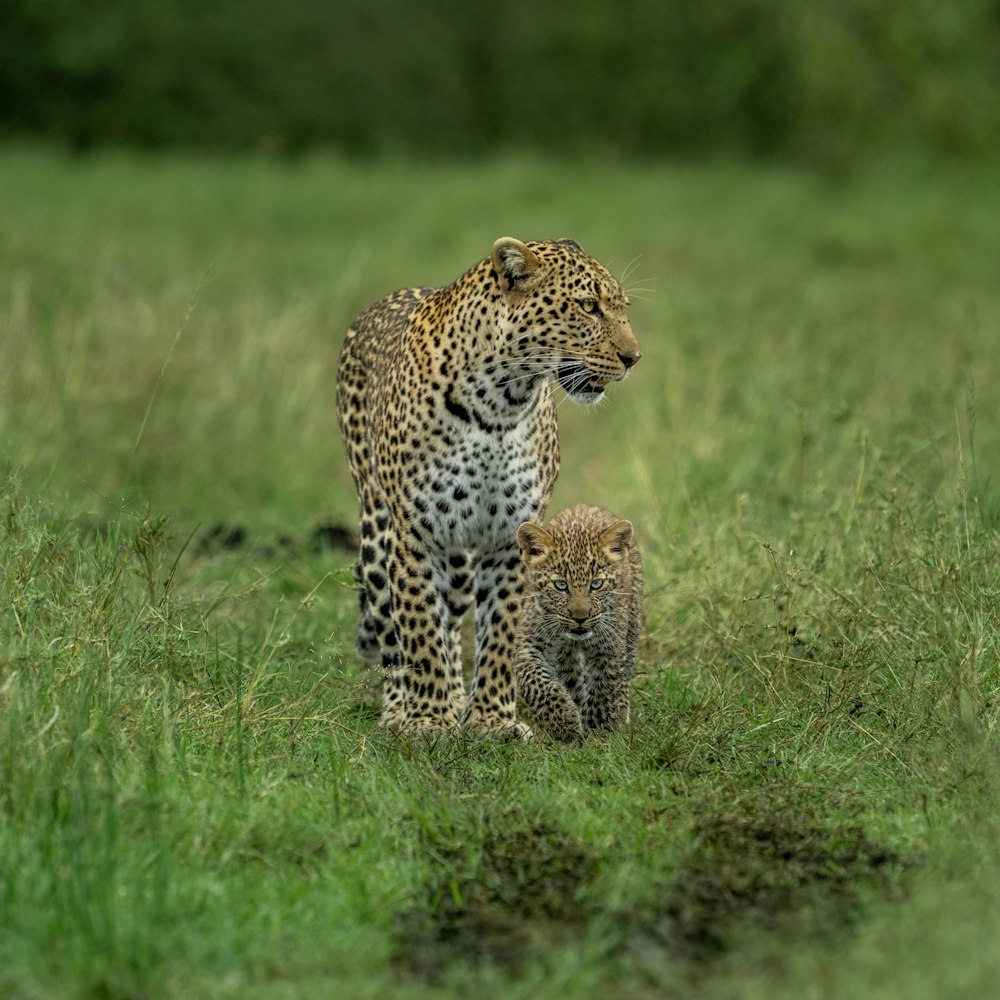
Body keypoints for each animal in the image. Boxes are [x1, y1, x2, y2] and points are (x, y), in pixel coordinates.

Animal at [336, 234, 640, 736]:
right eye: (588, 306)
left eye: (620, 308)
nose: (634, 358)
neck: (500, 403)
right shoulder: (414, 534)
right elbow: (419, 628)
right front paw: (428, 721)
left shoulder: (509, 535)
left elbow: (499, 631)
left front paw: (491, 722)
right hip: (378, 535)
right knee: (394, 637)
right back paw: (400, 710)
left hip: (459, 561)